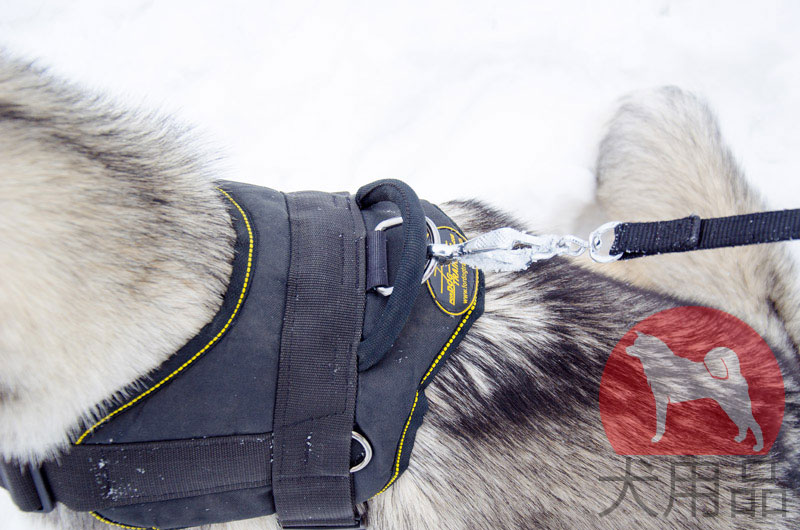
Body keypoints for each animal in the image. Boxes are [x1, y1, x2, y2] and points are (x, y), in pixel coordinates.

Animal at [626, 331, 764, 451]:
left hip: (736, 407)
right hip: (731, 409)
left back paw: (758, 447)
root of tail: (735, 374)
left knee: (754, 425)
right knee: (743, 424)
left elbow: (660, 423)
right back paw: (740, 439)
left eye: (637, 345)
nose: (626, 348)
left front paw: (657, 438)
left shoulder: (661, 402)